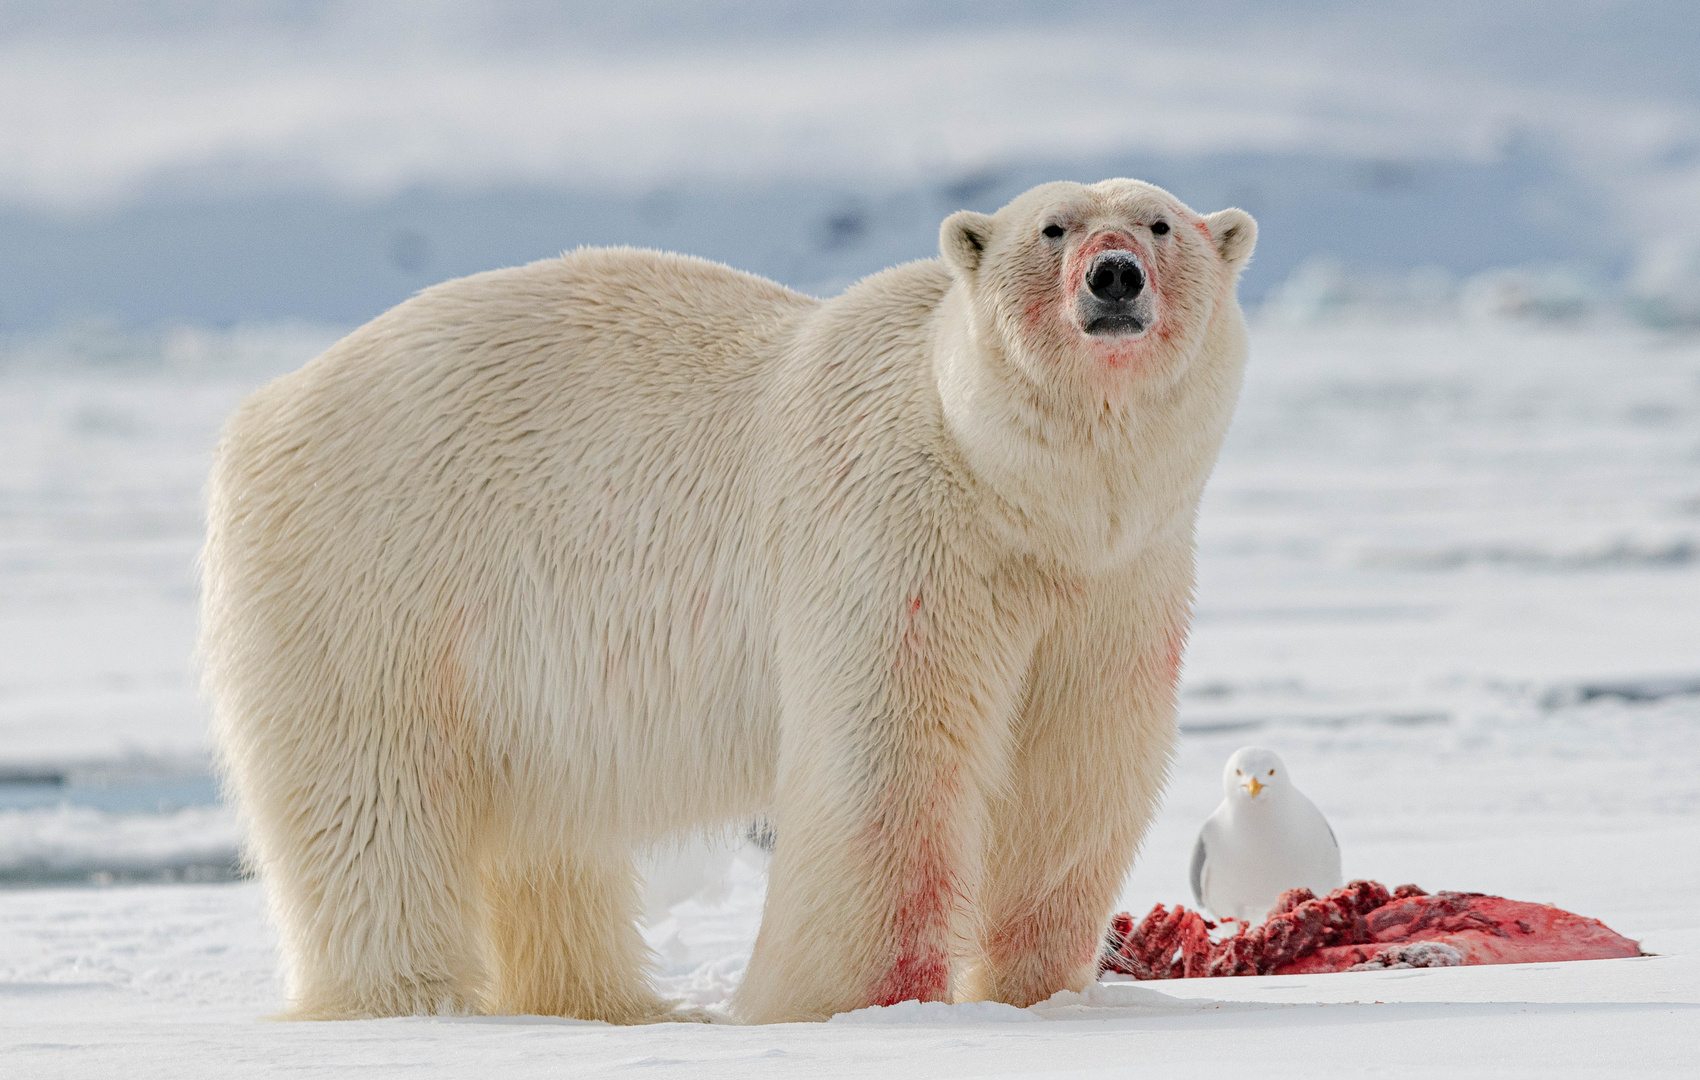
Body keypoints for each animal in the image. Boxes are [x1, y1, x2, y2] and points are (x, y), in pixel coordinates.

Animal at [202, 177, 1264, 1020]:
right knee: (367, 798)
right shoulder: (897, 533)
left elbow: (1073, 766)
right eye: (1052, 227)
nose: (1114, 277)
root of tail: (265, 408)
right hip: (376, 569)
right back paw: (410, 1001)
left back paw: (612, 1004)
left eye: (1159, 223)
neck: (1017, 493)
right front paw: (848, 1005)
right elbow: (889, 765)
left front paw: (1032, 989)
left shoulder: (1114, 582)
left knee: (541, 827)